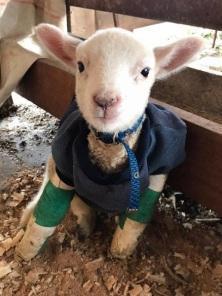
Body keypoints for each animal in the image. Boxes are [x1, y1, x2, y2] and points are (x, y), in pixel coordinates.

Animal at [15, 23, 203, 260]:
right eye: (80, 66)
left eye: (145, 71)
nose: (105, 101)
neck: (110, 146)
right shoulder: (63, 163)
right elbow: (51, 211)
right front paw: (27, 250)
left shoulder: (160, 165)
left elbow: (132, 225)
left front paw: (119, 250)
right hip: (53, 159)